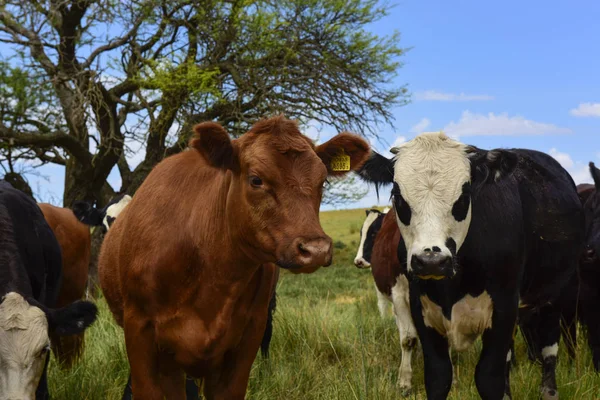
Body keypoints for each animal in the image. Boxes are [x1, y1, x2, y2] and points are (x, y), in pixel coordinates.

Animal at [358, 134, 584, 400]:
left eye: (465, 196)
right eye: (397, 195)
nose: (431, 261)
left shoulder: (504, 307)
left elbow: (489, 379)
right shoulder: (419, 307)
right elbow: (437, 376)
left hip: (555, 293)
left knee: (549, 348)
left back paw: (549, 390)